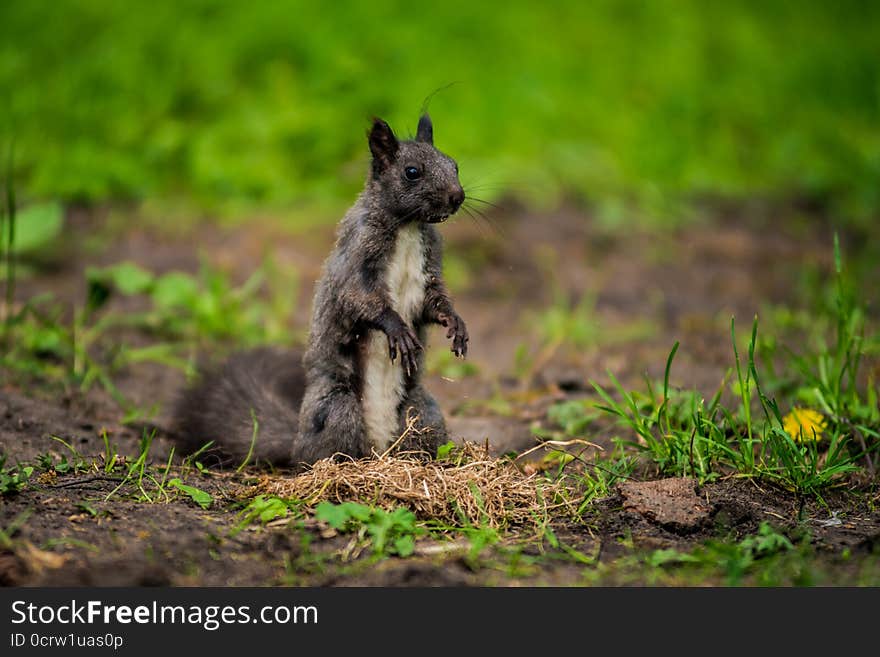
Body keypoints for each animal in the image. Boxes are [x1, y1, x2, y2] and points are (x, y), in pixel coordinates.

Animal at [170, 115, 468, 468]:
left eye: (454, 164)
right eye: (412, 172)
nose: (457, 197)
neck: (407, 226)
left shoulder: (429, 269)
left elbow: (432, 302)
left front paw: (455, 322)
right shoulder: (354, 259)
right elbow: (358, 299)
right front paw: (396, 328)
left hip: (422, 412)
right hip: (337, 408)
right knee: (321, 451)